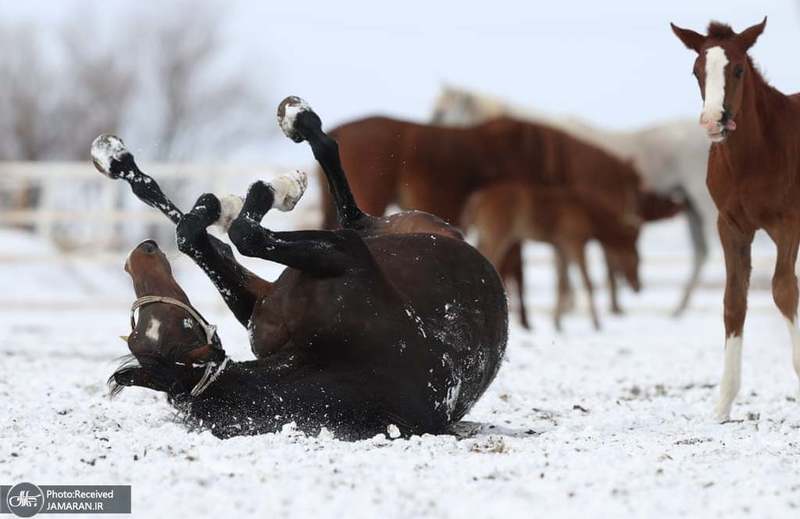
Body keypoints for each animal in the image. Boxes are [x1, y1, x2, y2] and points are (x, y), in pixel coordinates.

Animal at [98, 96, 506, 438]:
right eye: (137, 334)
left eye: (181, 323)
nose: (140, 255)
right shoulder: (338, 257)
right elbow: (241, 235)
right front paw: (265, 192)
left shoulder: (339, 256)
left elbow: (229, 235)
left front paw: (263, 191)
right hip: (325, 259)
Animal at [462, 181, 636, 332]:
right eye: (635, 257)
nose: (637, 285)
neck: (586, 212)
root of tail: (477, 199)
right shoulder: (575, 244)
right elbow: (587, 282)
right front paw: (596, 323)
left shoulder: (560, 247)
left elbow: (561, 283)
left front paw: (557, 323)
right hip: (496, 236)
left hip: (486, 236)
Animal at [672, 18, 800, 422]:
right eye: (696, 71)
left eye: (739, 69)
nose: (713, 121)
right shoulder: (730, 226)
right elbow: (733, 301)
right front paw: (723, 404)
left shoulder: (788, 223)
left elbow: (783, 289)